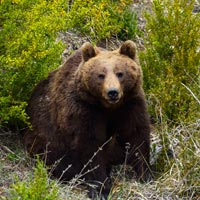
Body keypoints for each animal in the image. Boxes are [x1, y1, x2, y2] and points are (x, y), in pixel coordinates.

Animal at [24, 40, 150, 198]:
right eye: (101, 75)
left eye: (120, 73)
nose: (113, 92)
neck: (107, 107)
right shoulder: (84, 109)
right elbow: (90, 146)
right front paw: (101, 188)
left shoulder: (130, 104)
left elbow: (137, 135)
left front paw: (145, 174)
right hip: (44, 136)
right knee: (56, 160)